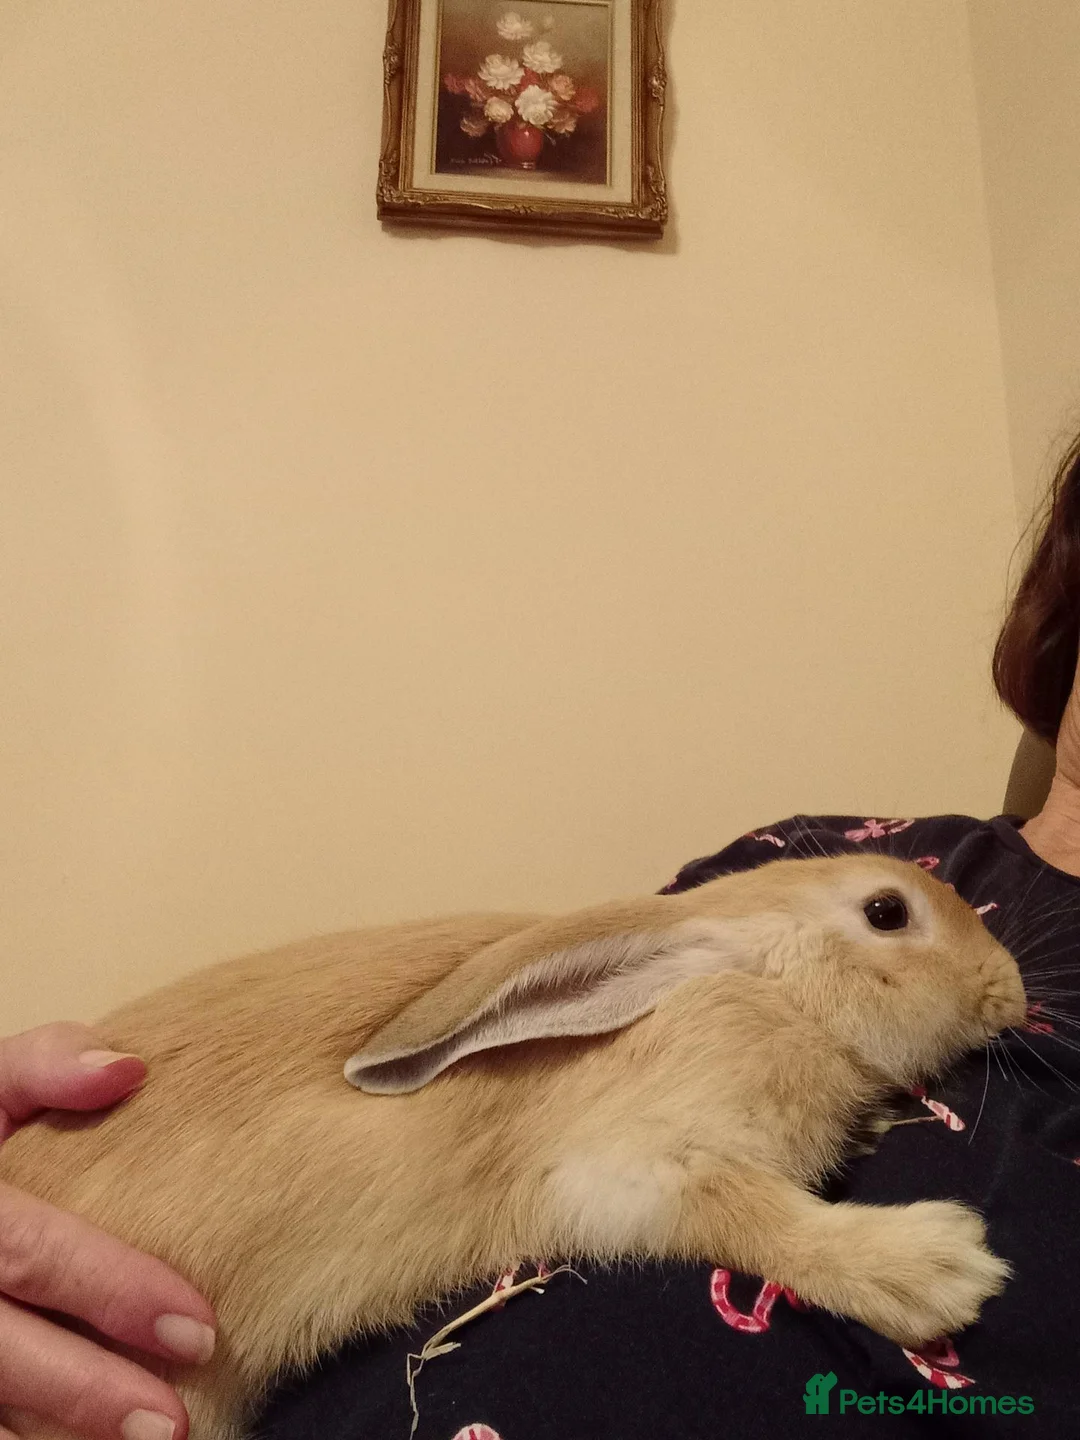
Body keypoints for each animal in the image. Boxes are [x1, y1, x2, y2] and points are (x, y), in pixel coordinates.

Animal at [0, 853, 1026, 1440]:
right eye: (888, 912)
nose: (1011, 993)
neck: (764, 986)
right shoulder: (631, 1168)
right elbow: (759, 1218)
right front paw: (939, 1268)